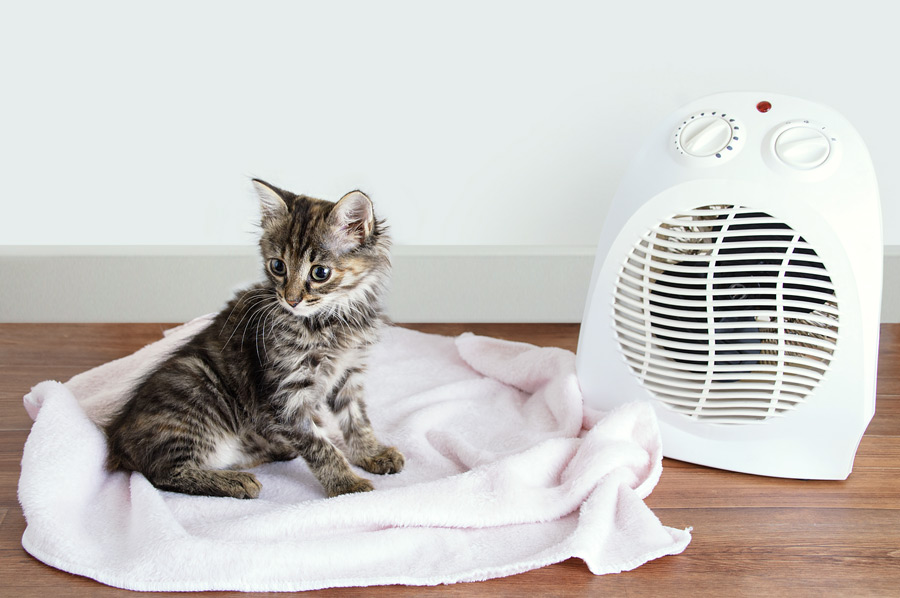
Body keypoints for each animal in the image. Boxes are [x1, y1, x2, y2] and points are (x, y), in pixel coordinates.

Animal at [102, 180, 404, 500]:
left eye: (320, 272)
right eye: (278, 266)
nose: (291, 300)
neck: (331, 321)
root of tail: (118, 438)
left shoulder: (348, 373)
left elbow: (356, 420)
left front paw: (371, 453)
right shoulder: (286, 396)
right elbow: (321, 447)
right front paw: (347, 484)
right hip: (197, 386)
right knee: (162, 473)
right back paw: (237, 481)